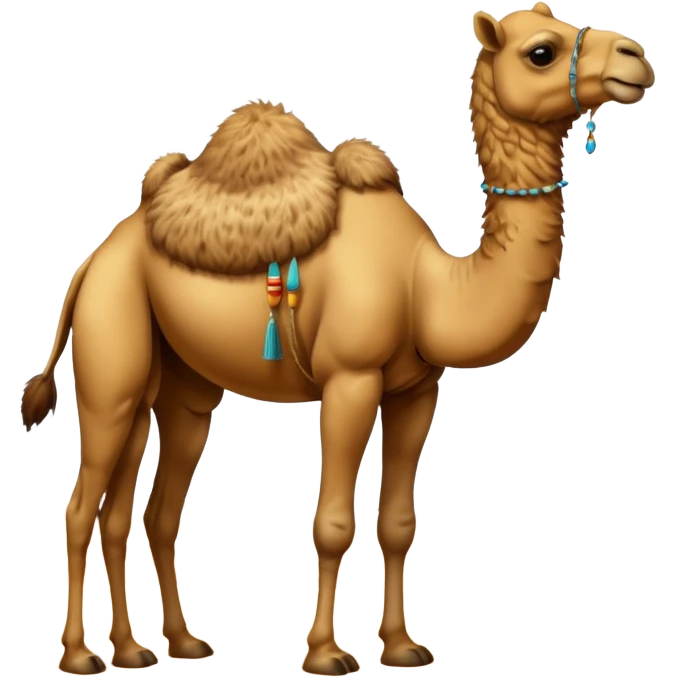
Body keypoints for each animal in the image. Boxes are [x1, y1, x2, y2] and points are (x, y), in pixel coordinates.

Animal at [19, 5, 656, 676]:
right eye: (541, 51)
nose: (635, 57)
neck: (425, 283)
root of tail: (93, 261)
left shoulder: (416, 390)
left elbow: (399, 522)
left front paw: (402, 647)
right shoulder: (350, 378)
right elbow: (331, 524)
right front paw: (326, 653)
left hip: (173, 387)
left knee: (144, 510)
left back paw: (157, 647)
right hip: (110, 343)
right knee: (82, 506)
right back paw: (80, 657)